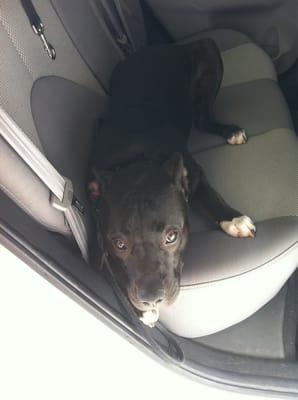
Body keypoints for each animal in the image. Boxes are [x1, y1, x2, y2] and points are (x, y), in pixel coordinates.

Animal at [89, 39, 255, 326]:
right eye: (119, 244)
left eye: (172, 236)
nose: (151, 297)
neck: (135, 160)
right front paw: (141, 311)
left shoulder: (192, 172)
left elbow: (209, 196)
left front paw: (232, 219)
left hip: (208, 54)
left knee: (202, 118)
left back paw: (230, 131)